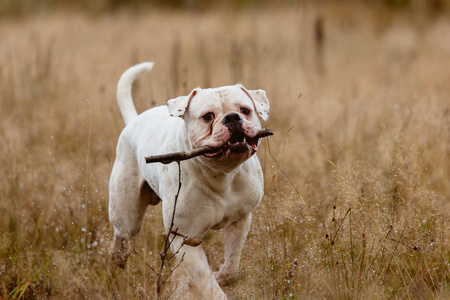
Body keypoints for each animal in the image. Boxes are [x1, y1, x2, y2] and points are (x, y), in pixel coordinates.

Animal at [109, 62, 270, 298]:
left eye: (245, 110)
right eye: (208, 116)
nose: (232, 117)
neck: (221, 174)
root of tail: (134, 121)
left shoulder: (239, 221)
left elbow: (231, 268)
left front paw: (219, 274)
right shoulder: (184, 239)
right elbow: (208, 284)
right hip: (127, 214)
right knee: (122, 236)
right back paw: (119, 261)